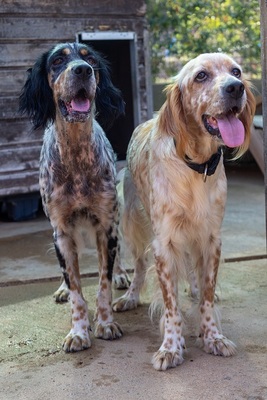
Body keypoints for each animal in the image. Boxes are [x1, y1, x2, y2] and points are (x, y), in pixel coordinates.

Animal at [113, 52, 255, 368]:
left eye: (236, 71)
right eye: (201, 76)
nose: (236, 88)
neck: (196, 167)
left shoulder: (211, 238)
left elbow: (206, 295)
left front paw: (213, 336)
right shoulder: (164, 243)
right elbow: (171, 306)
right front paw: (171, 347)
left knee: (193, 269)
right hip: (132, 225)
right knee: (138, 267)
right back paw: (130, 297)